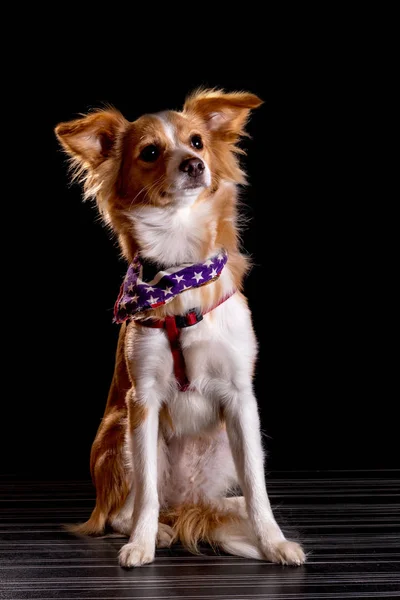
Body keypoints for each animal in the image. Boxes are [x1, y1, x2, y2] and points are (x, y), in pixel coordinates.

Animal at [55, 89, 306, 568]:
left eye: (197, 142)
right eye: (151, 152)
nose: (193, 164)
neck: (180, 268)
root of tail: (186, 500)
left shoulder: (241, 398)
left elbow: (257, 486)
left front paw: (273, 541)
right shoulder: (142, 400)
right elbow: (146, 494)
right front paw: (142, 543)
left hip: (224, 442)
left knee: (229, 497)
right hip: (119, 433)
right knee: (126, 509)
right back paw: (159, 530)